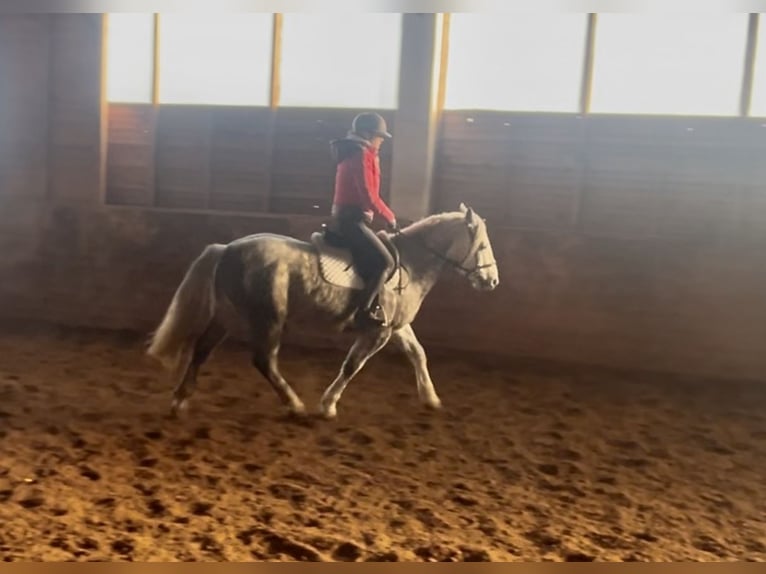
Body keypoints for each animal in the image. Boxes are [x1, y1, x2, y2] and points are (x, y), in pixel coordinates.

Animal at [147, 202, 500, 418]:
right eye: (482, 246)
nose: (492, 281)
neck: (410, 266)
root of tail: (227, 249)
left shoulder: (396, 327)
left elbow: (418, 354)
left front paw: (430, 398)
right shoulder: (378, 332)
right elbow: (352, 366)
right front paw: (328, 405)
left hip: (229, 316)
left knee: (202, 350)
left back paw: (180, 400)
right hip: (268, 318)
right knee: (263, 360)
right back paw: (294, 404)